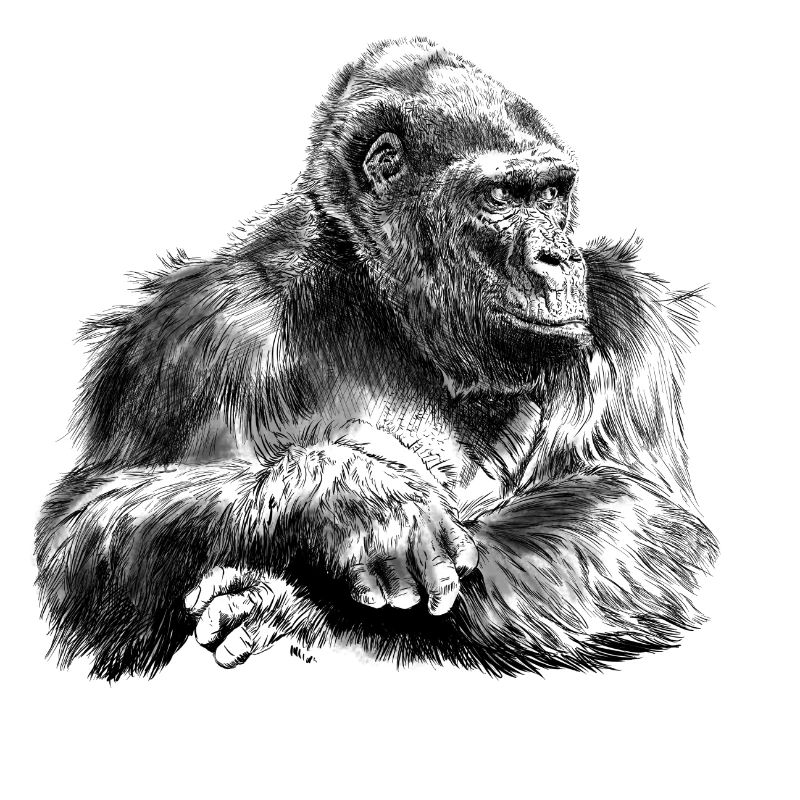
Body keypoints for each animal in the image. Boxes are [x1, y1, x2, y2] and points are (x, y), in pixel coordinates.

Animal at [36, 37, 717, 679]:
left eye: (552, 194)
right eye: (502, 196)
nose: (559, 257)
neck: (380, 301)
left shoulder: (627, 317)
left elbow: (641, 521)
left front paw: (298, 604)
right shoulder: (195, 332)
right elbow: (84, 535)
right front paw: (352, 500)